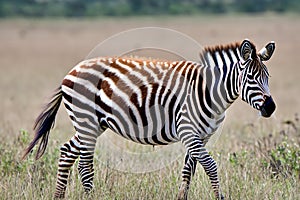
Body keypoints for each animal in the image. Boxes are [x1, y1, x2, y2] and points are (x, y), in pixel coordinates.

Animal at [22, 38, 276, 199]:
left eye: (268, 77)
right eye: (251, 77)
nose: (271, 107)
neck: (208, 91)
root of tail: (71, 71)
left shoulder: (200, 136)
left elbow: (189, 171)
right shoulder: (188, 131)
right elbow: (211, 167)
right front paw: (219, 197)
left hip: (92, 125)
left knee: (67, 152)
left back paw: (59, 196)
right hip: (87, 121)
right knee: (85, 165)